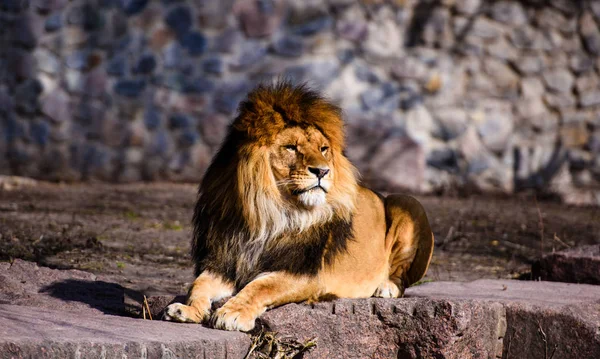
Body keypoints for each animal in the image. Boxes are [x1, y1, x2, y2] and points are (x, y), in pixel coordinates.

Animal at [164, 81, 434, 332]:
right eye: (291, 147)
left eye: (323, 149)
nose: (322, 171)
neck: (267, 214)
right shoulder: (225, 262)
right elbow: (198, 284)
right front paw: (187, 309)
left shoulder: (305, 274)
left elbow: (261, 286)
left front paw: (233, 313)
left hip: (407, 201)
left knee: (402, 276)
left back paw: (386, 287)